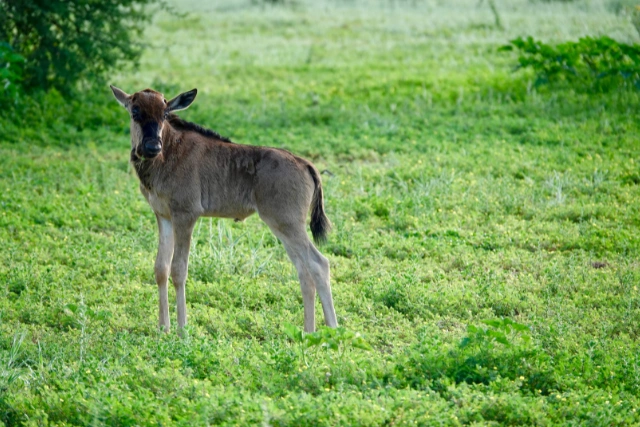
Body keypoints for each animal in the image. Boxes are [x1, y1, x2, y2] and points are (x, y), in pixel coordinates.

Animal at [110, 85, 337, 333]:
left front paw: (182, 329)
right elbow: (161, 268)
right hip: (283, 227)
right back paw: (308, 331)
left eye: (165, 113)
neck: (168, 153)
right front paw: (163, 328)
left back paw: (333, 329)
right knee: (303, 270)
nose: (153, 147)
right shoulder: (163, 216)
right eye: (135, 111)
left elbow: (179, 270)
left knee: (319, 264)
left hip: (287, 224)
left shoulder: (186, 215)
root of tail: (306, 164)